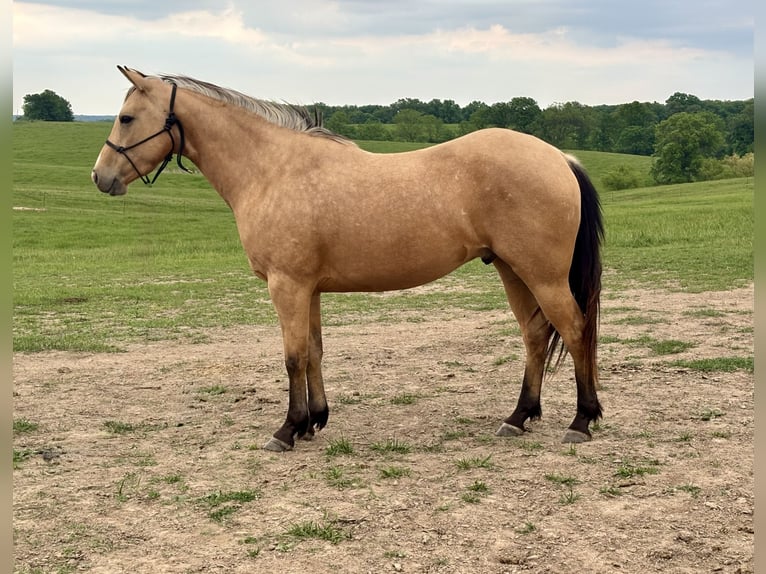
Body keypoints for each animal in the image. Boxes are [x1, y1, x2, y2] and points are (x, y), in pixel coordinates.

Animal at [91, 66, 604, 452]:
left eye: (127, 118)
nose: (101, 177)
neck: (272, 170)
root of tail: (559, 158)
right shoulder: (309, 288)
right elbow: (314, 352)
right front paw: (313, 420)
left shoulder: (287, 286)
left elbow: (293, 357)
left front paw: (287, 429)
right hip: (512, 271)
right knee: (536, 335)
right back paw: (518, 417)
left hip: (542, 275)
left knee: (575, 330)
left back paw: (581, 421)